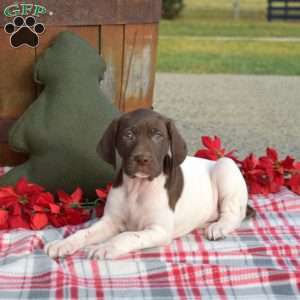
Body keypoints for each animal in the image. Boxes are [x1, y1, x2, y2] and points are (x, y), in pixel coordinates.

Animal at [45, 109, 251, 258]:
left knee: (234, 214)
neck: (138, 187)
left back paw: (219, 227)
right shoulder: (111, 221)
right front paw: (63, 243)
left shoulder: (159, 230)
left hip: (225, 166)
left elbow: (127, 235)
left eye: (158, 136)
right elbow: (84, 233)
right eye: (128, 135)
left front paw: (106, 246)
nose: (142, 159)